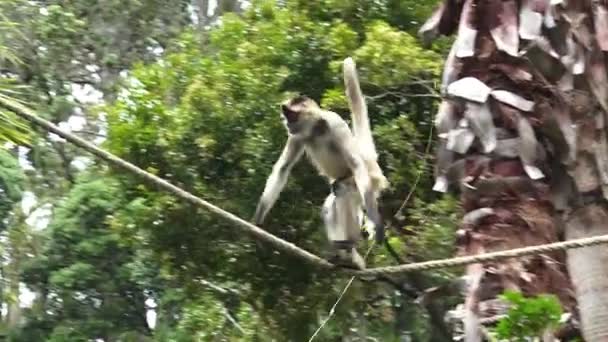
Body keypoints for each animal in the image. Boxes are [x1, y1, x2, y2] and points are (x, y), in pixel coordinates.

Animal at [253, 56, 390, 270]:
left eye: (291, 115)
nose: (286, 123)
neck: (316, 129)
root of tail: (370, 160)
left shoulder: (334, 122)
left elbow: (355, 164)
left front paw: (376, 222)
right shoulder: (298, 135)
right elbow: (283, 168)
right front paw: (257, 225)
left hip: (369, 181)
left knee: (344, 188)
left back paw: (350, 249)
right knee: (333, 198)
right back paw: (344, 253)